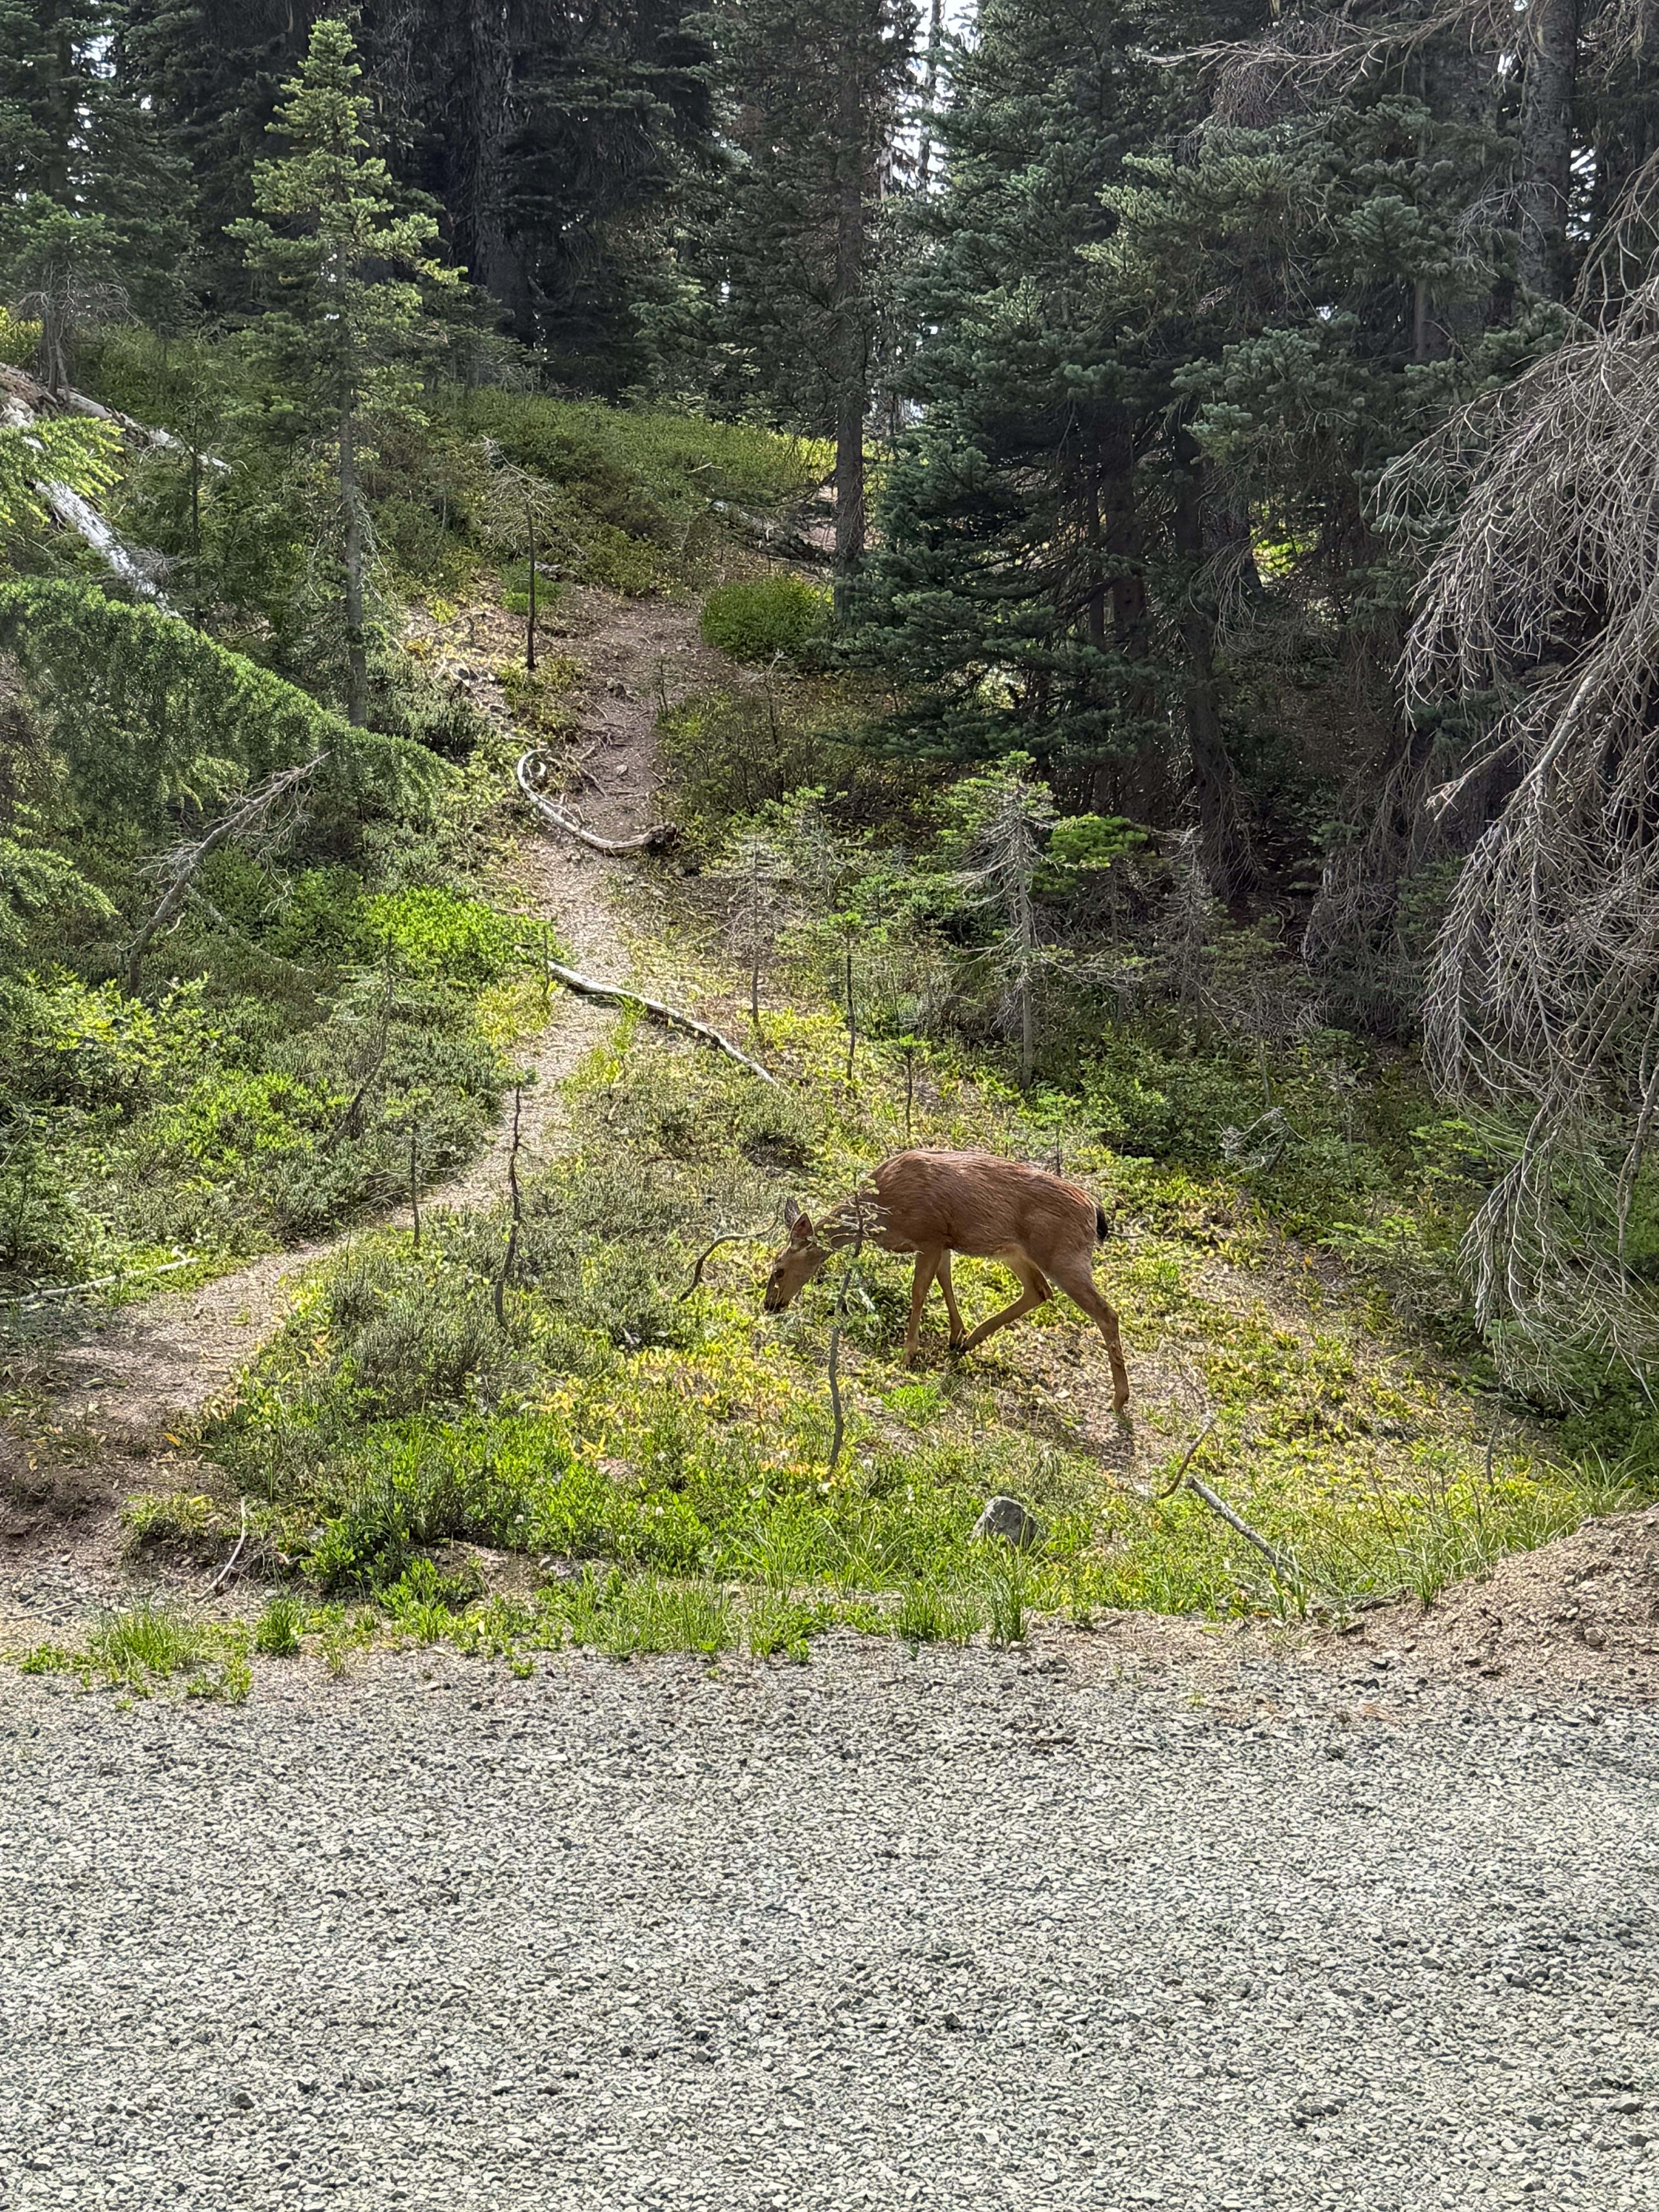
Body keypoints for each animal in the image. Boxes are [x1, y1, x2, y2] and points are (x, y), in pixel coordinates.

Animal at [761, 1148, 1129, 1411]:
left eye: (778, 1269)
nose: (769, 1305)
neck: (883, 1209)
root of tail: (1095, 1211)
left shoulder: (930, 1234)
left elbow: (920, 1290)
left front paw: (908, 1354)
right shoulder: (944, 1241)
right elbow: (945, 1281)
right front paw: (956, 1334)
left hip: (1063, 1256)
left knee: (1106, 1313)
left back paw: (1119, 1400)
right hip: (1016, 1252)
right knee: (1039, 1291)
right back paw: (969, 1342)